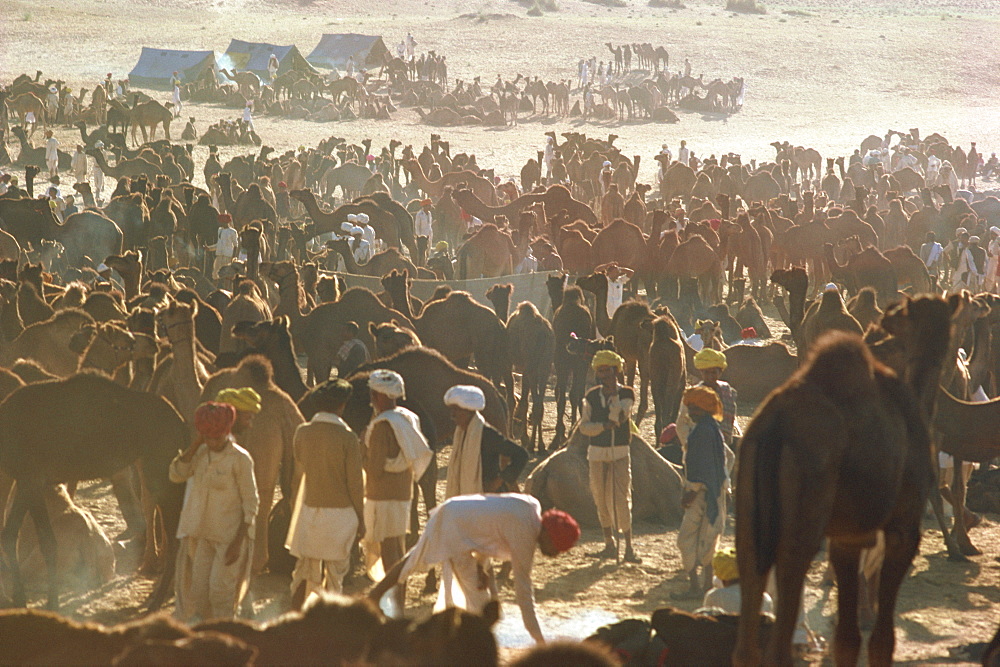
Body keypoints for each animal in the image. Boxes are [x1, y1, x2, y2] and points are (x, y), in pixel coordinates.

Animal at [0, 374, 187, 612]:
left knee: (174, 538)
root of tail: (179, 421)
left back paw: (156, 601)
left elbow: (32, 539)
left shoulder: (30, 478)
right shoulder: (30, 482)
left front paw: (39, 603)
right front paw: (33, 601)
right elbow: (29, 538)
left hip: (162, 472)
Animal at [736, 296, 952, 667]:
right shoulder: (903, 528)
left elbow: (847, 639)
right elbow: (882, 641)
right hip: (804, 515)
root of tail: (773, 425)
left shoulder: (847, 538)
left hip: (750, 518)